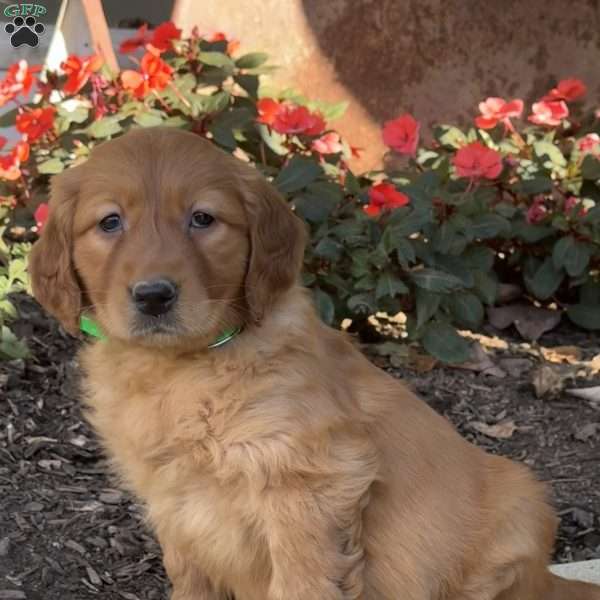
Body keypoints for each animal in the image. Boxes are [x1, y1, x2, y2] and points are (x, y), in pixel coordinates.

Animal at [30, 127, 600, 600]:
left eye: (202, 219)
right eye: (109, 222)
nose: (153, 296)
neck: (183, 370)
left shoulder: (308, 487)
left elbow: (303, 582)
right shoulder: (174, 502)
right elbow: (191, 578)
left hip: (517, 511)